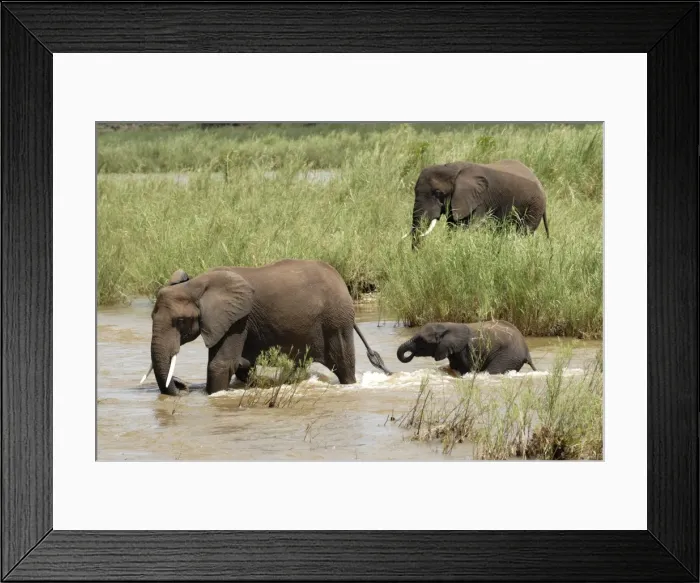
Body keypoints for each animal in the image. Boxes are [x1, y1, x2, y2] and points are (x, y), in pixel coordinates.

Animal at [140, 259, 392, 396]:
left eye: (180, 321)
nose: (180, 385)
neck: (195, 285)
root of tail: (340, 280)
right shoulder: (223, 321)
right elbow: (234, 364)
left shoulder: (237, 319)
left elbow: (221, 364)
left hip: (336, 320)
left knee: (343, 365)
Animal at [396, 320, 536, 375]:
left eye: (421, 340)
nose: (411, 354)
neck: (446, 325)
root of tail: (527, 351)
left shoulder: (466, 350)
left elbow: (466, 369)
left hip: (508, 355)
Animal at [404, 159, 549, 248]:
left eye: (438, 193)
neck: (452, 168)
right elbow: (453, 226)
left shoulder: (480, 200)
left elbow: (472, 227)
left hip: (535, 205)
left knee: (524, 231)